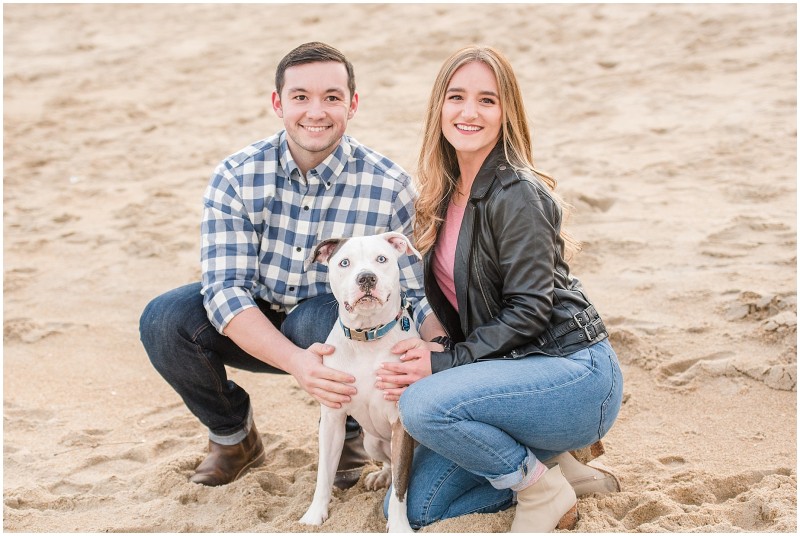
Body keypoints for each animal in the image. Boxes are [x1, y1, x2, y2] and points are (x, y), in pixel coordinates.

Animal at [300, 230, 422, 532]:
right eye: (345, 262)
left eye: (382, 259)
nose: (366, 278)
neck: (368, 337)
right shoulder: (332, 420)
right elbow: (323, 475)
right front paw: (314, 514)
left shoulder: (400, 424)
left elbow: (401, 486)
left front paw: (399, 526)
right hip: (372, 442)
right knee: (387, 463)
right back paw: (380, 476)